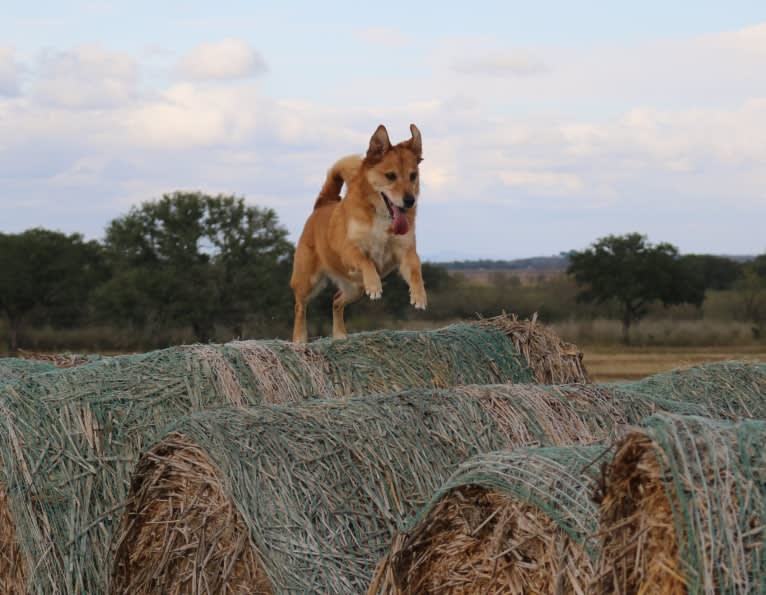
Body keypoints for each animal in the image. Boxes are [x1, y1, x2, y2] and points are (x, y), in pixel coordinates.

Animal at [292, 123, 428, 342]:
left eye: (413, 176)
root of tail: (323, 203)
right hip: (307, 280)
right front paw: (375, 285)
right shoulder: (349, 249)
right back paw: (299, 338)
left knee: (336, 300)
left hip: (355, 288)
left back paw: (340, 334)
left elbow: (416, 271)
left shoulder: (406, 252)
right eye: (391, 176)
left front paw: (419, 296)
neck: (381, 216)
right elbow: (365, 261)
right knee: (300, 306)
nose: (409, 201)